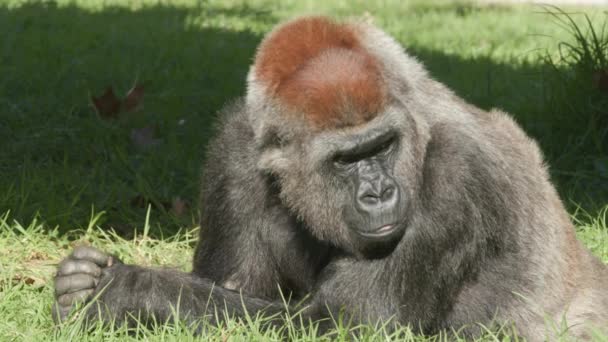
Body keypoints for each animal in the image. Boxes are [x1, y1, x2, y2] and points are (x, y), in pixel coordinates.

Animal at [53, 15, 608, 340]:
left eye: (383, 146)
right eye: (344, 160)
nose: (379, 192)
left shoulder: (458, 170)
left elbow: (347, 324)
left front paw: (125, 288)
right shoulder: (239, 141)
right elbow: (234, 287)